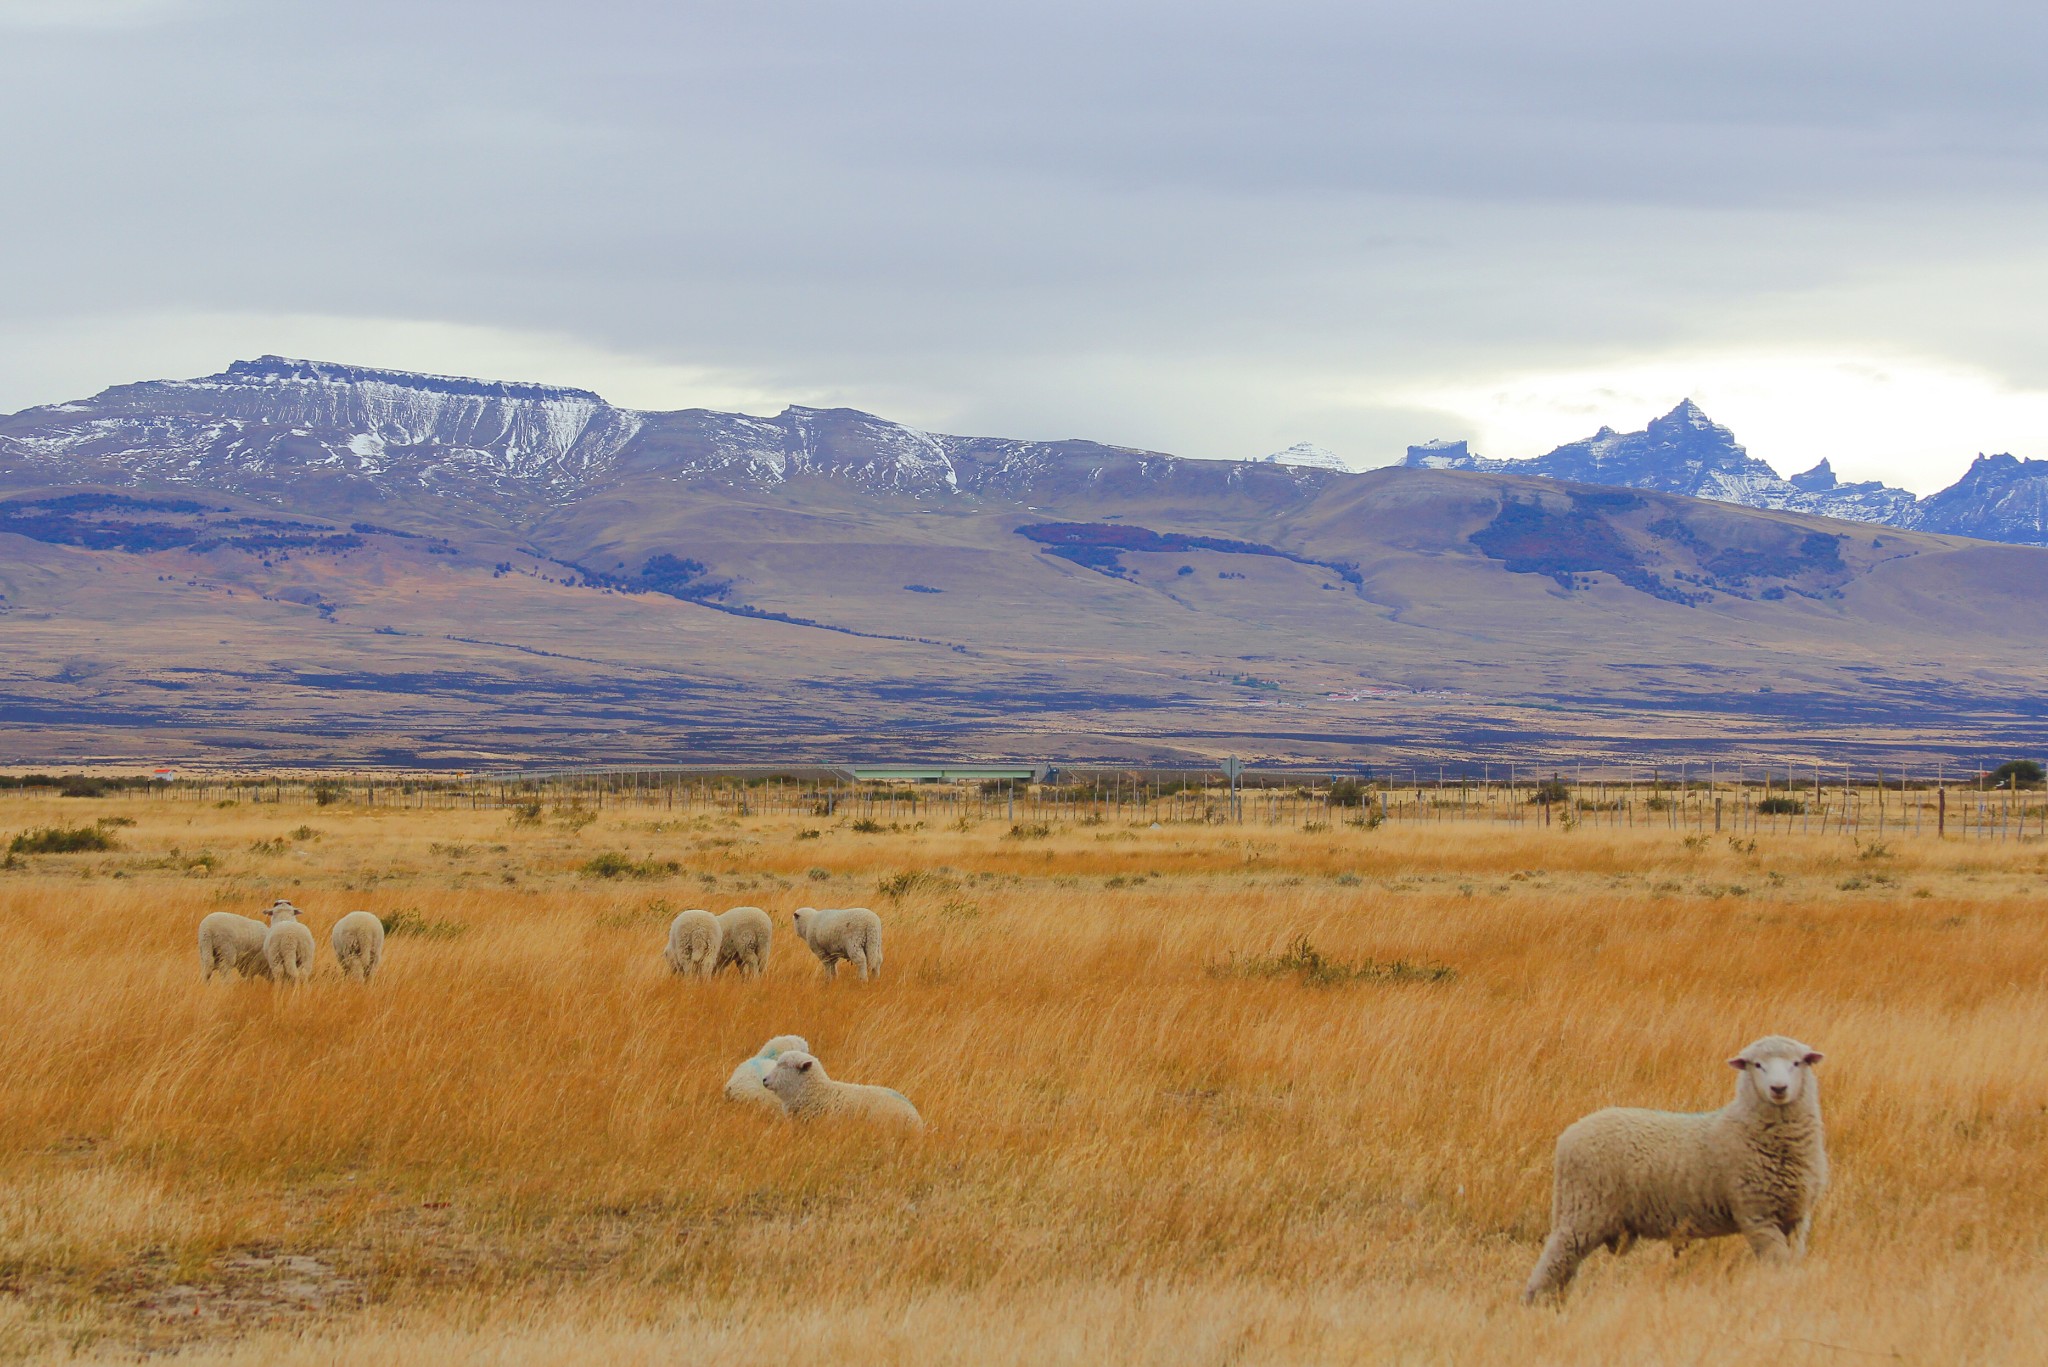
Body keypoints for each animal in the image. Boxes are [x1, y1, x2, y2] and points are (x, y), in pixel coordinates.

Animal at [1523, 1037, 1826, 1303]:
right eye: (1757, 1065)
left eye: (1797, 1063)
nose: (1778, 1088)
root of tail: (1569, 1134)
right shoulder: (1756, 1215)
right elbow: (1778, 1263)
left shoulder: (1797, 1216)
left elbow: (1792, 1259)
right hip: (1582, 1211)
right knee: (1553, 1261)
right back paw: (1536, 1302)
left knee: (1565, 1267)